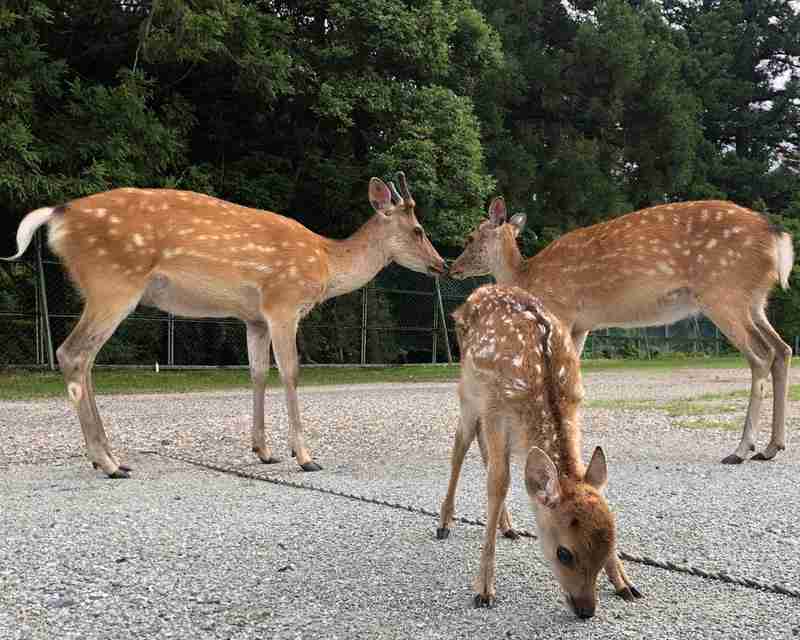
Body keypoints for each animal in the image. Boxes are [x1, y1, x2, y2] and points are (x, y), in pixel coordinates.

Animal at [3, 173, 445, 478]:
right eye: (418, 229)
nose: (441, 264)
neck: (325, 261)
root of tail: (57, 215)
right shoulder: (283, 303)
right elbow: (291, 373)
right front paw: (305, 457)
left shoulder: (253, 317)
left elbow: (258, 373)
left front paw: (263, 451)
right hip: (113, 283)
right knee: (72, 353)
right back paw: (107, 463)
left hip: (103, 288)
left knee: (85, 359)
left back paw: (112, 459)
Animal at [436, 285, 641, 617]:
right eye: (564, 553)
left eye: (611, 545)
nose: (586, 610)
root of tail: (479, 291)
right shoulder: (495, 408)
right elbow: (499, 483)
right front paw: (484, 589)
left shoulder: (574, 406)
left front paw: (624, 582)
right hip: (468, 389)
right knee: (461, 444)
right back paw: (444, 524)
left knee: (483, 451)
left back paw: (507, 527)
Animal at [449, 197, 794, 465]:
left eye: (470, 236)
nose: (453, 268)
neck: (527, 275)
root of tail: (778, 239)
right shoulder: (581, 325)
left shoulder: (562, 313)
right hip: (754, 301)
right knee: (782, 349)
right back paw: (771, 447)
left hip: (723, 292)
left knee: (761, 356)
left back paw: (742, 449)